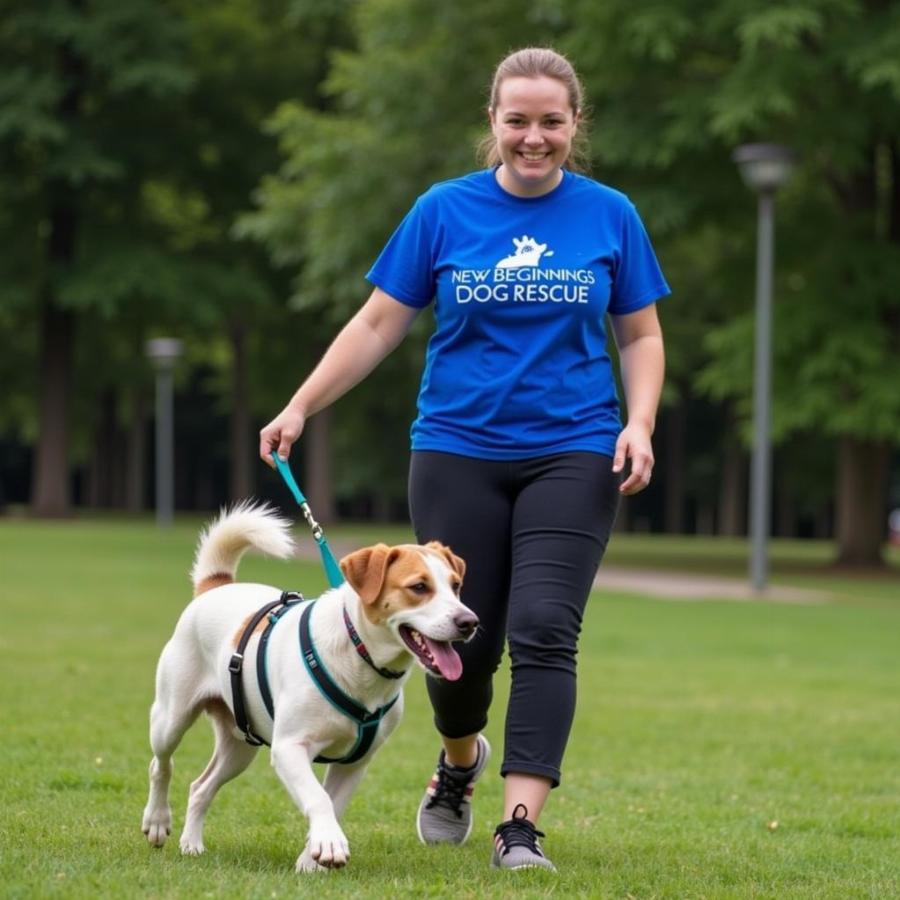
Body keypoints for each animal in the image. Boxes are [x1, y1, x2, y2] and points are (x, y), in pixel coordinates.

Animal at [141, 502, 478, 868]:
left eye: (456, 586)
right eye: (419, 587)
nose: (470, 622)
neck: (359, 655)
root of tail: (216, 586)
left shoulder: (356, 763)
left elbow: (333, 803)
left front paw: (312, 860)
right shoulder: (289, 747)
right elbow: (318, 798)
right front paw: (328, 844)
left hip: (240, 744)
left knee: (200, 787)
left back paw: (191, 844)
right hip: (171, 717)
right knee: (161, 764)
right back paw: (157, 821)